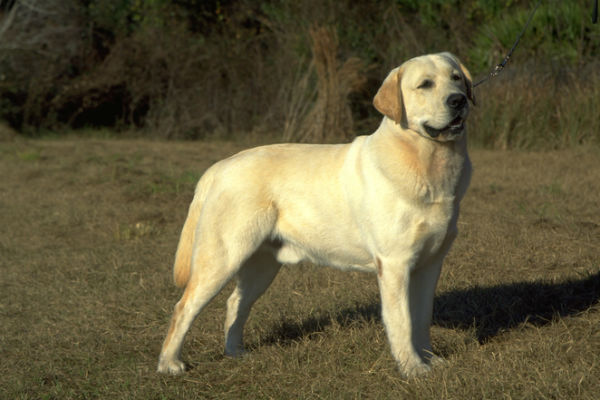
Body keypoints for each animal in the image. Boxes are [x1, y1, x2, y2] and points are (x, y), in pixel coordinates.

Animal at [158, 51, 474, 376]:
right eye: (425, 84)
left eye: (456, 78)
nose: (458, 100)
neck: (429, 161)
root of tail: (219, 167)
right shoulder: (395, 263)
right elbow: (403, 322)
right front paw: (412, 368)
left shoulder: (431, 263)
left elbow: (422, 318)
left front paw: (431, 359)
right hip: (222, 258)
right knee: (183, 307)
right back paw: (170, 364)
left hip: (262, 265)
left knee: (235, 303)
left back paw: (235, 352)